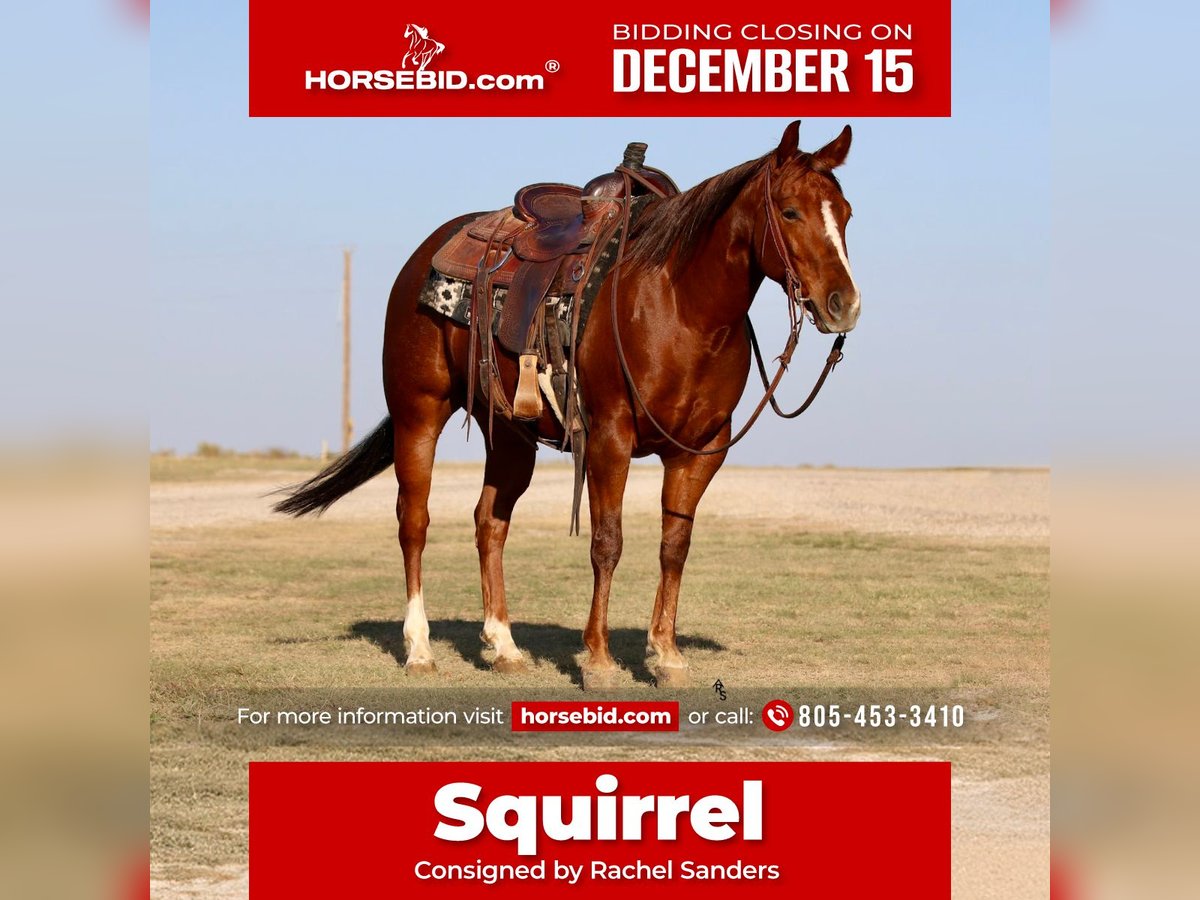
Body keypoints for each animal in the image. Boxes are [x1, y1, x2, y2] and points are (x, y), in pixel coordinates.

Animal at [274, 120, 861, 690]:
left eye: (847, 214)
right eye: (790, 211)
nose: (844, 304)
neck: (680, 307)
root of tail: (424, 256)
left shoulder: (701, 450)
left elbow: (674, 546)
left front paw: (666, 654)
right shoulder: (610, 438)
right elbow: (607, 542)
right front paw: (598, 660)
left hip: (510, 436)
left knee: (489, 522)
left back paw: (504, 646)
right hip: (418, 413)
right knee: (413, 521)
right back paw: (419, 649)